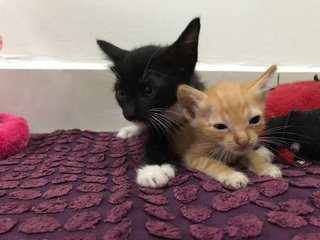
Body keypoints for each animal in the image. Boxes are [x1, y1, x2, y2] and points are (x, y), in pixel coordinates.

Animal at [96, 18, 204, 188]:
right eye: (121, 94)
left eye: (149, 90)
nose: (129, 114)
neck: (171, 109)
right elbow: (154, 134)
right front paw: (154, 168)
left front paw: (154, 167)